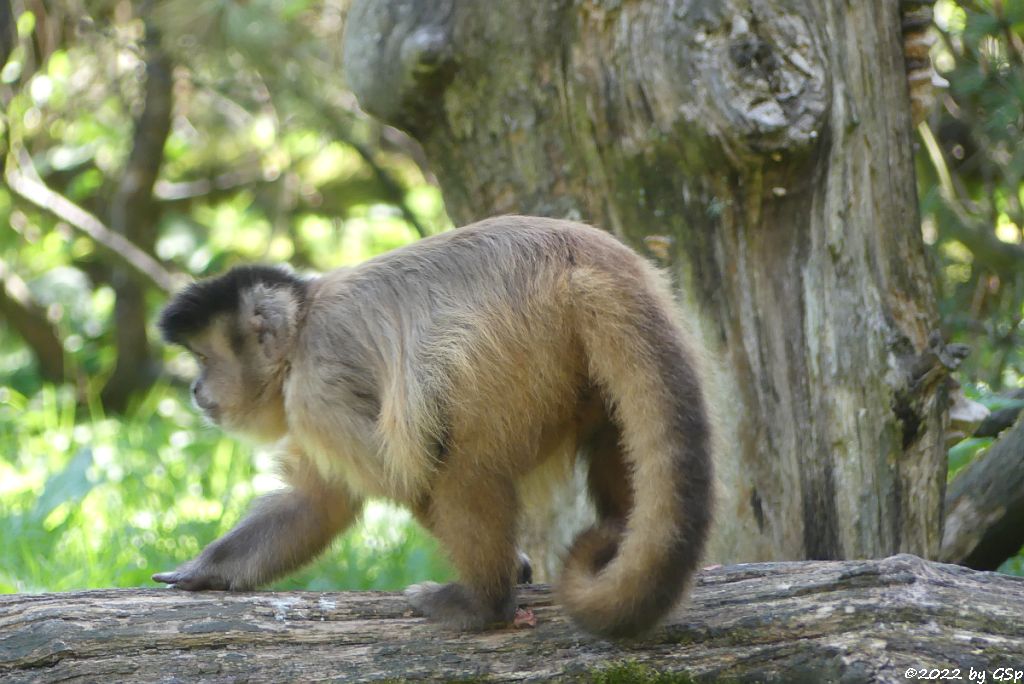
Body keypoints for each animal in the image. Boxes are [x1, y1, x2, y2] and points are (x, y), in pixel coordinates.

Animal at [153, 216, 712, 638]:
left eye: (204, 359)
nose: (195, 388)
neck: (302, 329)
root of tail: (585, 255)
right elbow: (318, 503)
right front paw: (206, 571)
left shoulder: (316, 389)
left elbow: (405, 479)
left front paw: (511, 568)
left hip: (512, 342)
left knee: (464, 464)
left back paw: (484, 604)